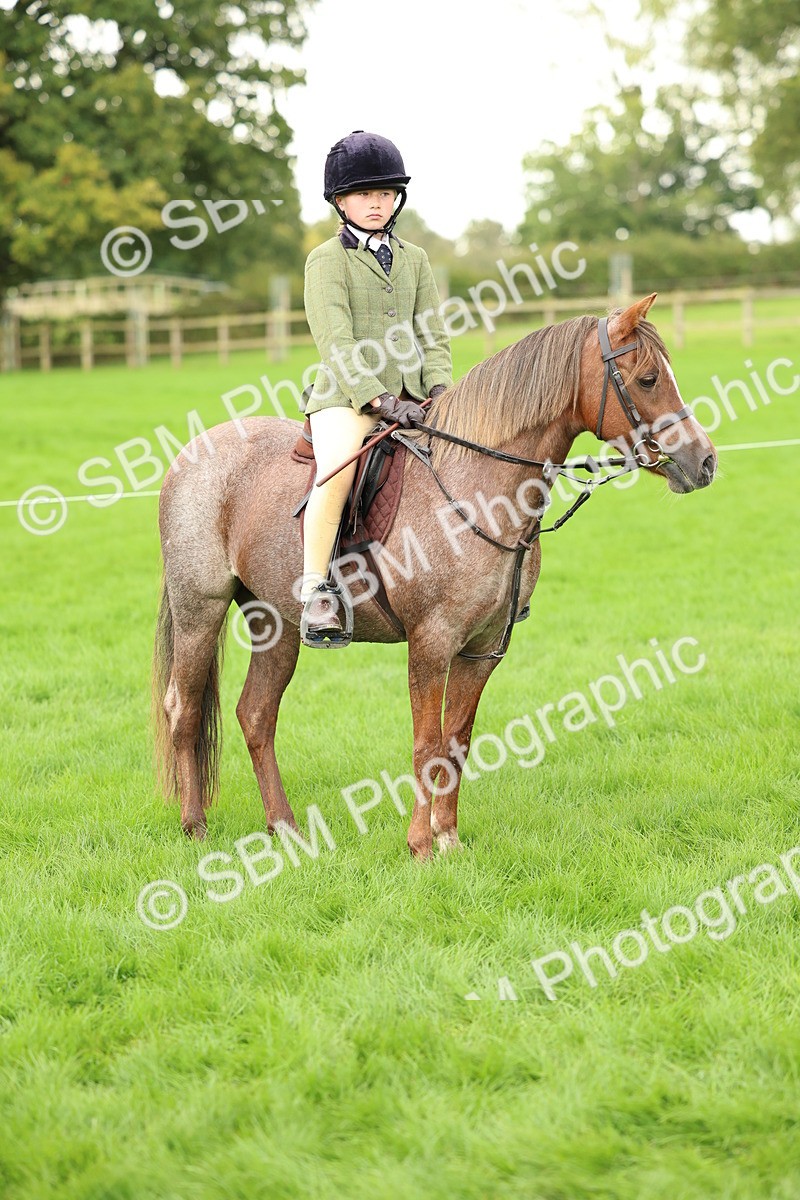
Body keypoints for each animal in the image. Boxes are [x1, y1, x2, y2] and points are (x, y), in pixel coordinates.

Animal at [152, 293, 717, 859]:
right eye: (648, 379)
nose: (705, 462)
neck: (479, 491)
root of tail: (192, 453)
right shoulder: (431, 642)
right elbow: (425, 744)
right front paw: (421, 845)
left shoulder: (482, 648)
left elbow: (456, 743)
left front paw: (449, 839)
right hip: (200, 610)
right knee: (183, 708)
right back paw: (195, 826)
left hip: (279, 625)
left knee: (256, 716)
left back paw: (286, 829)